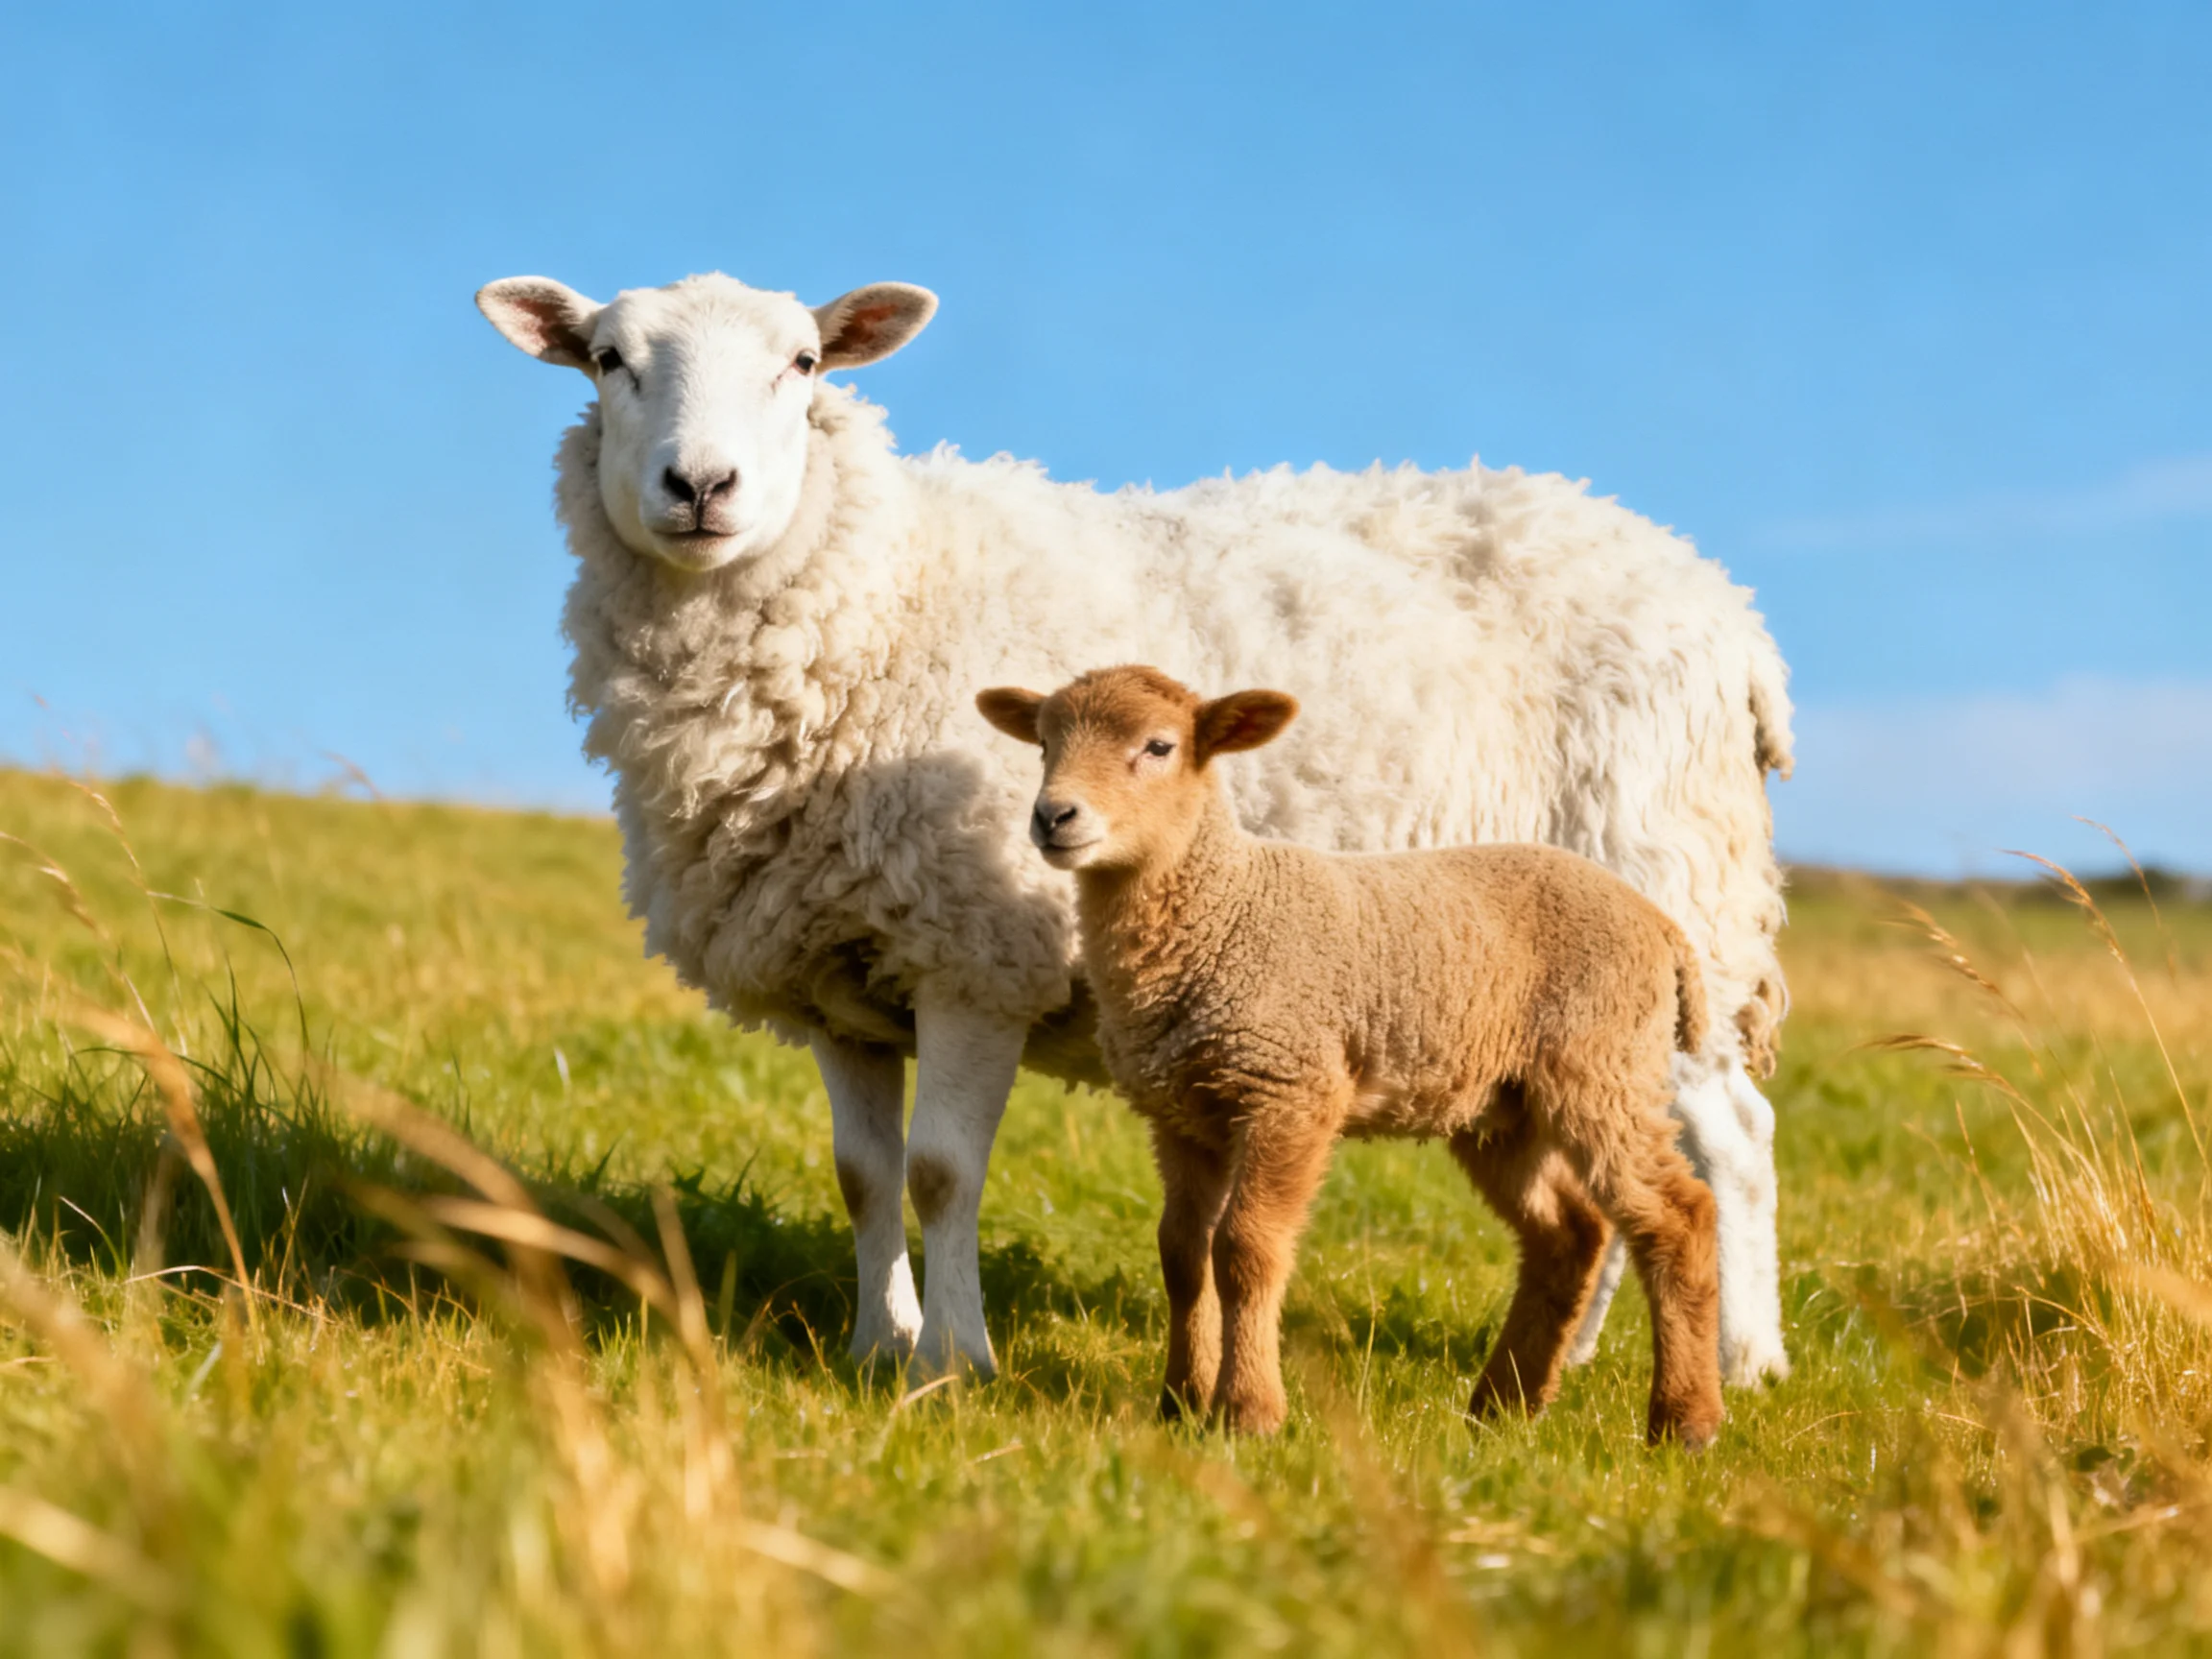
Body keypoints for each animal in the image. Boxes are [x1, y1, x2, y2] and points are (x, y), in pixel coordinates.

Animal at [976, 666, 1725, 1445]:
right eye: (1044, 745)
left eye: (1159, 747)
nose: (1053, 816)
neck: (1223, 905)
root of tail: (1661, 924)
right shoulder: (1181, 1113)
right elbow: (1181, 1254)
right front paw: (1179, 1404)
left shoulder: (1291, 1088)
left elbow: (1244, 1250)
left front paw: (1249, 1411)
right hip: (1503, 1108)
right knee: (1567, 1234)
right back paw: (1502, 1406)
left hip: (1604, 1063)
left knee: (1678, 1215)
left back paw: (1684, 1421)